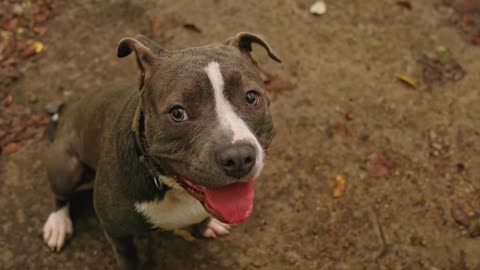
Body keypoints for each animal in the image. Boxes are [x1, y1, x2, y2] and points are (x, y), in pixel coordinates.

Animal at [42, 31, 282, 268]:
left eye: (251, 97)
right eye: (177, 113)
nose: (238, 157)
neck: (172, 187)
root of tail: (66, 114)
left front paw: (206, 225)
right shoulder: (117, 234)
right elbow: (129, 259)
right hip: (67, 168)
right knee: (60, 195)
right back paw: (58, 224)